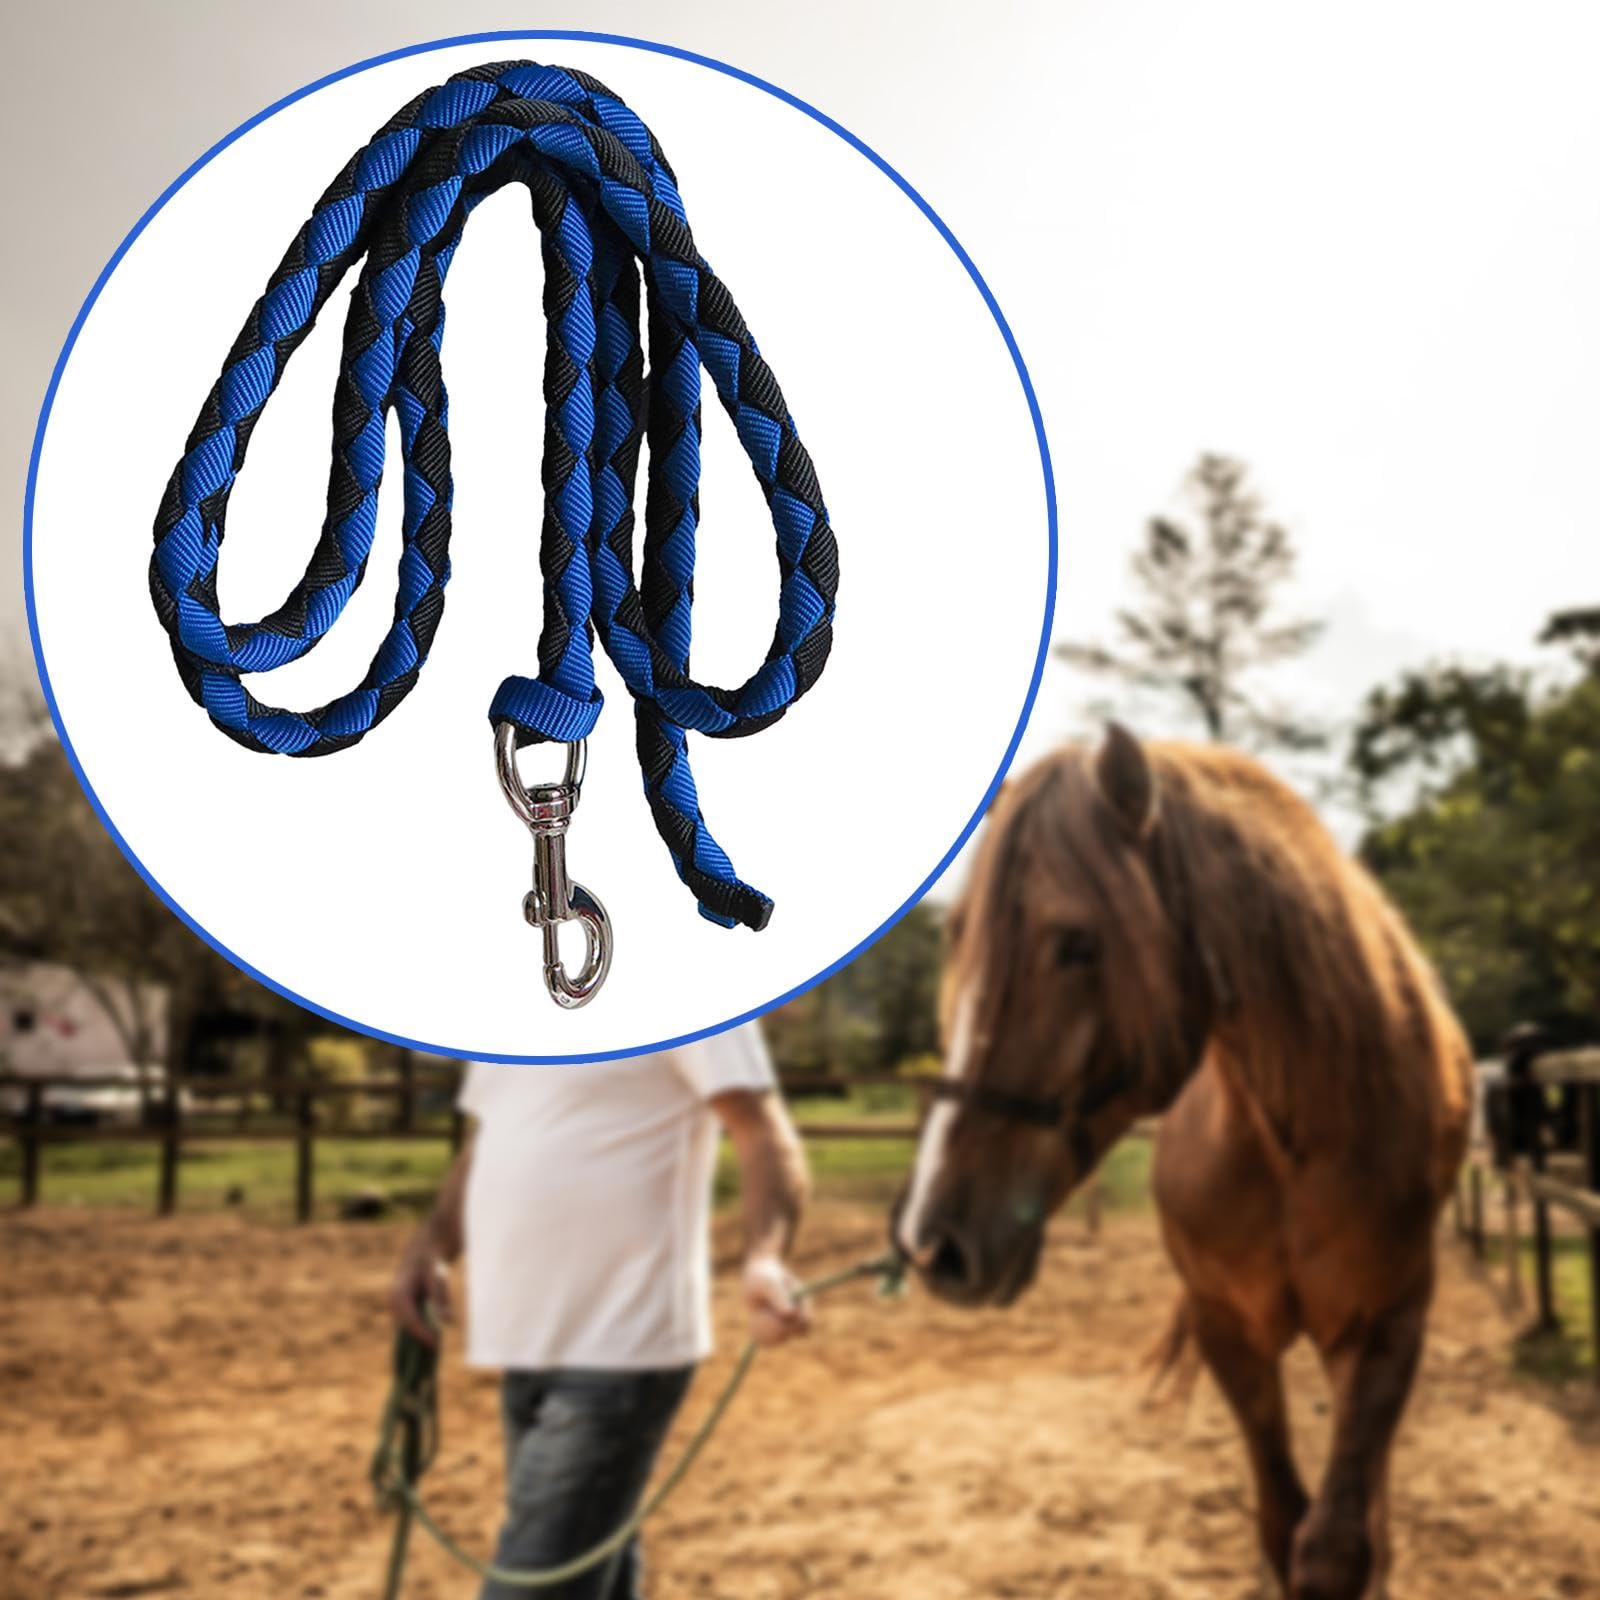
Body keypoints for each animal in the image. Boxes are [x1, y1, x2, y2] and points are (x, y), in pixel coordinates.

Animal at [894, 725, 1472, 1600]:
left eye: (1078, 943)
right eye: (958, 937)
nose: (933, 1243)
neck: (1287, 1139)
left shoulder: (1384, 1327)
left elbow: (1337, 1546)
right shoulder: (1225, 1326)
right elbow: (1283, 1527)